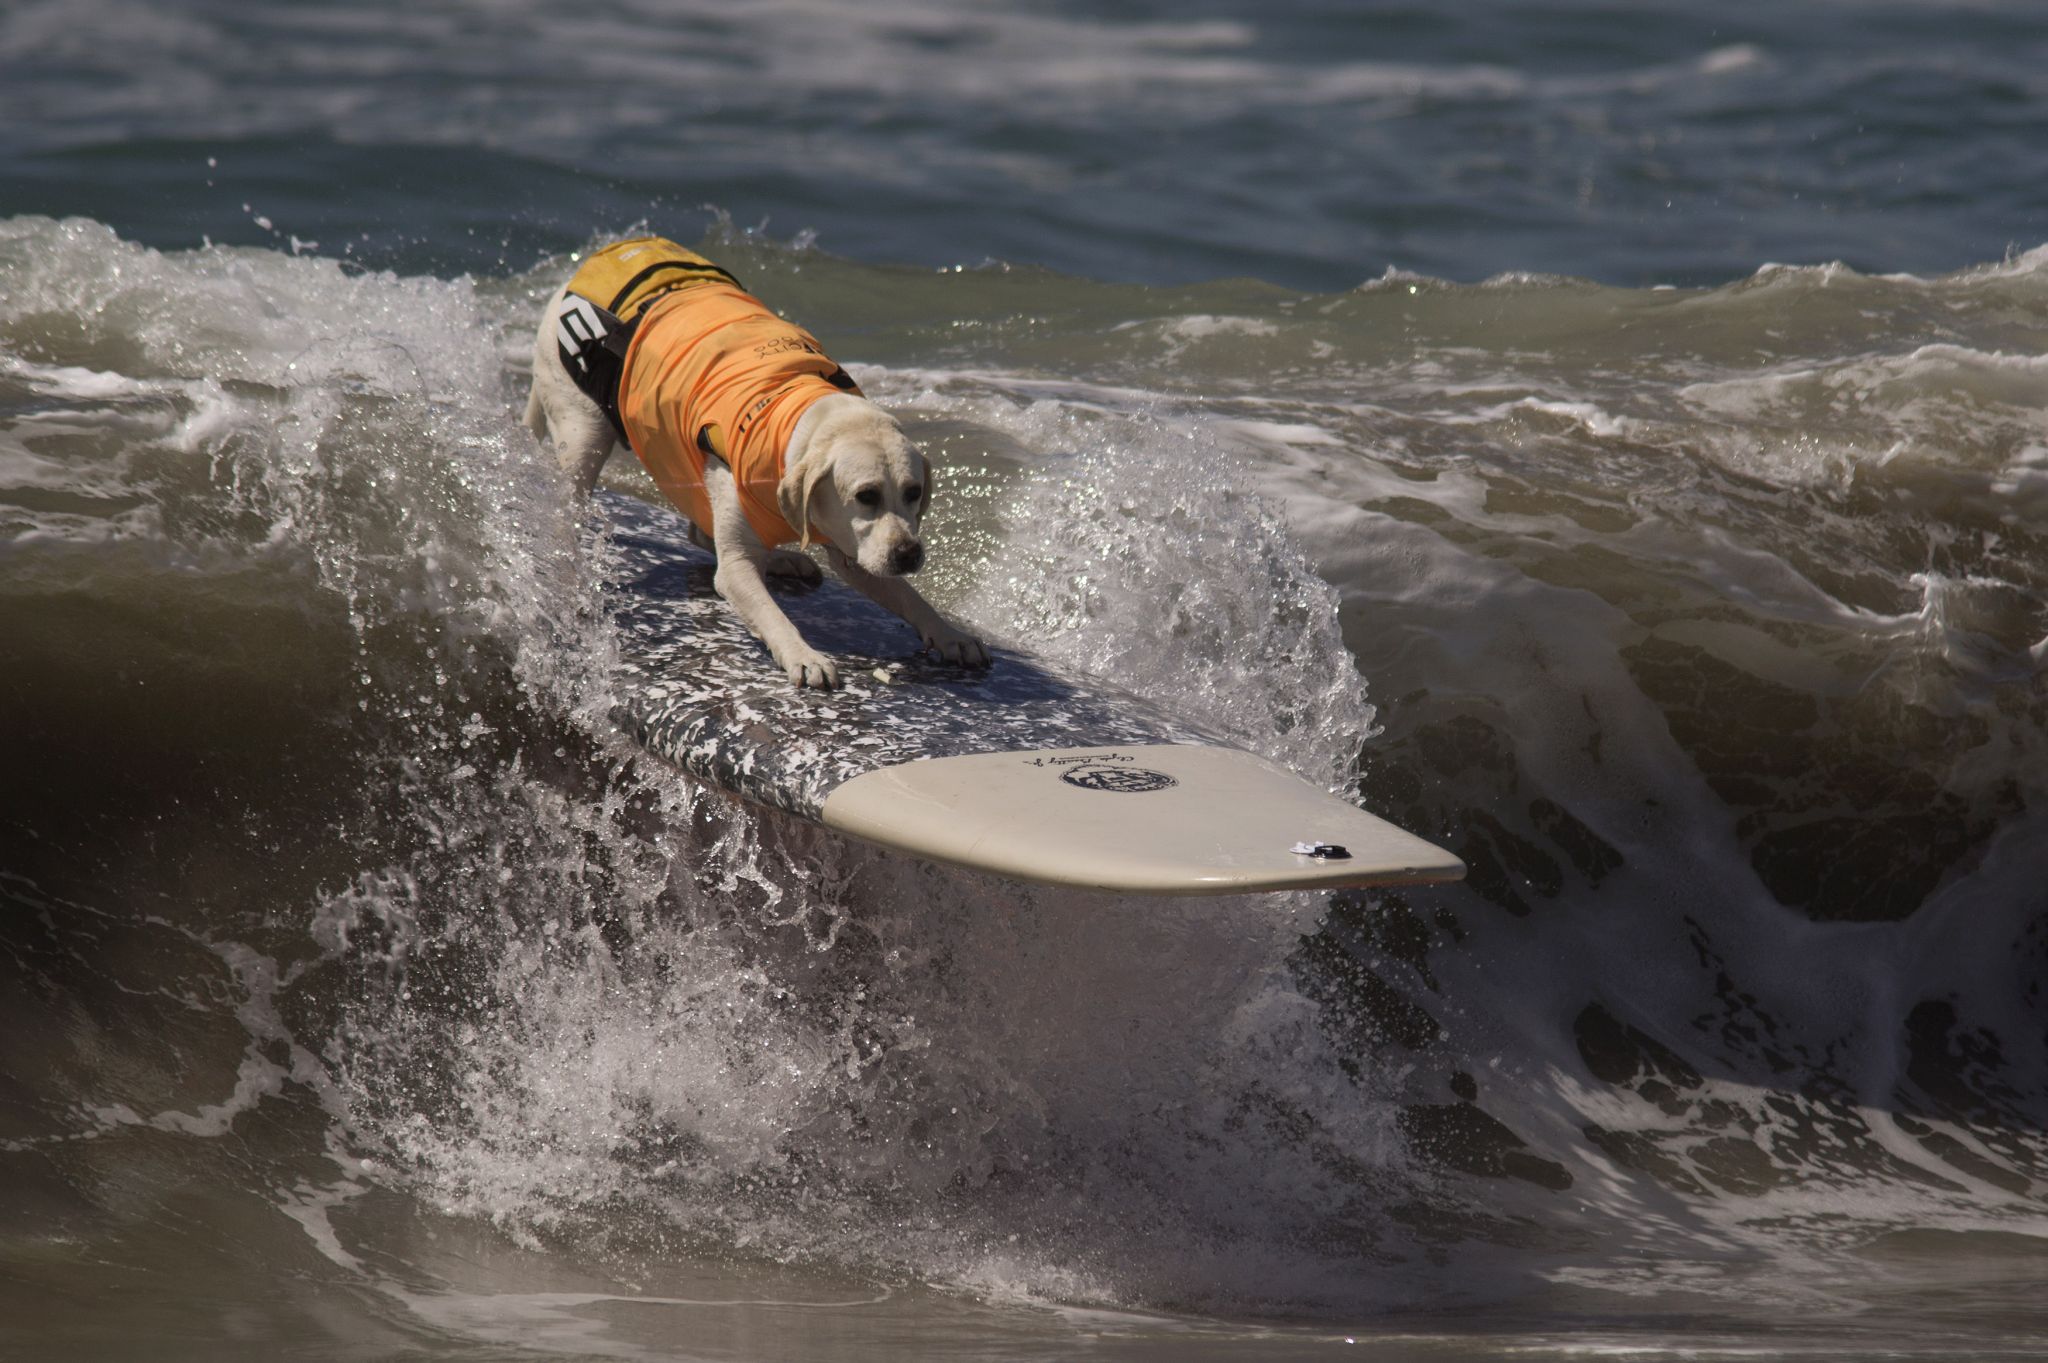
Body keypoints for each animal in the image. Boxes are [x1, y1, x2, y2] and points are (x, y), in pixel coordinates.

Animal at [520, 236, 983, 691]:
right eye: (865, 495)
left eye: (913, 493)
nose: (909, 553)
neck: (794, 417)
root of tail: (571, 280)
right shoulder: (743, 567)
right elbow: (770, 612)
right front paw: (803, 655)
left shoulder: (855, 549)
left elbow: (908, 596)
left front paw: (949, 635)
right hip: (583, 432)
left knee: (704, 531)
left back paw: (779, 559)